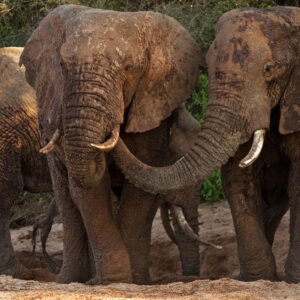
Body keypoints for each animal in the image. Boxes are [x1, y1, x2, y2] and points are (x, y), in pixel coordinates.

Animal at [20, 4, 204, 284]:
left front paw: (129, 280)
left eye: (130, 68)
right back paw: (71, 279)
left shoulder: (152, 106)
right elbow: (90, 191)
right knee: (66, 198)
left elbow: (139, 190)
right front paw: (114, 278)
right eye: (62, 65)